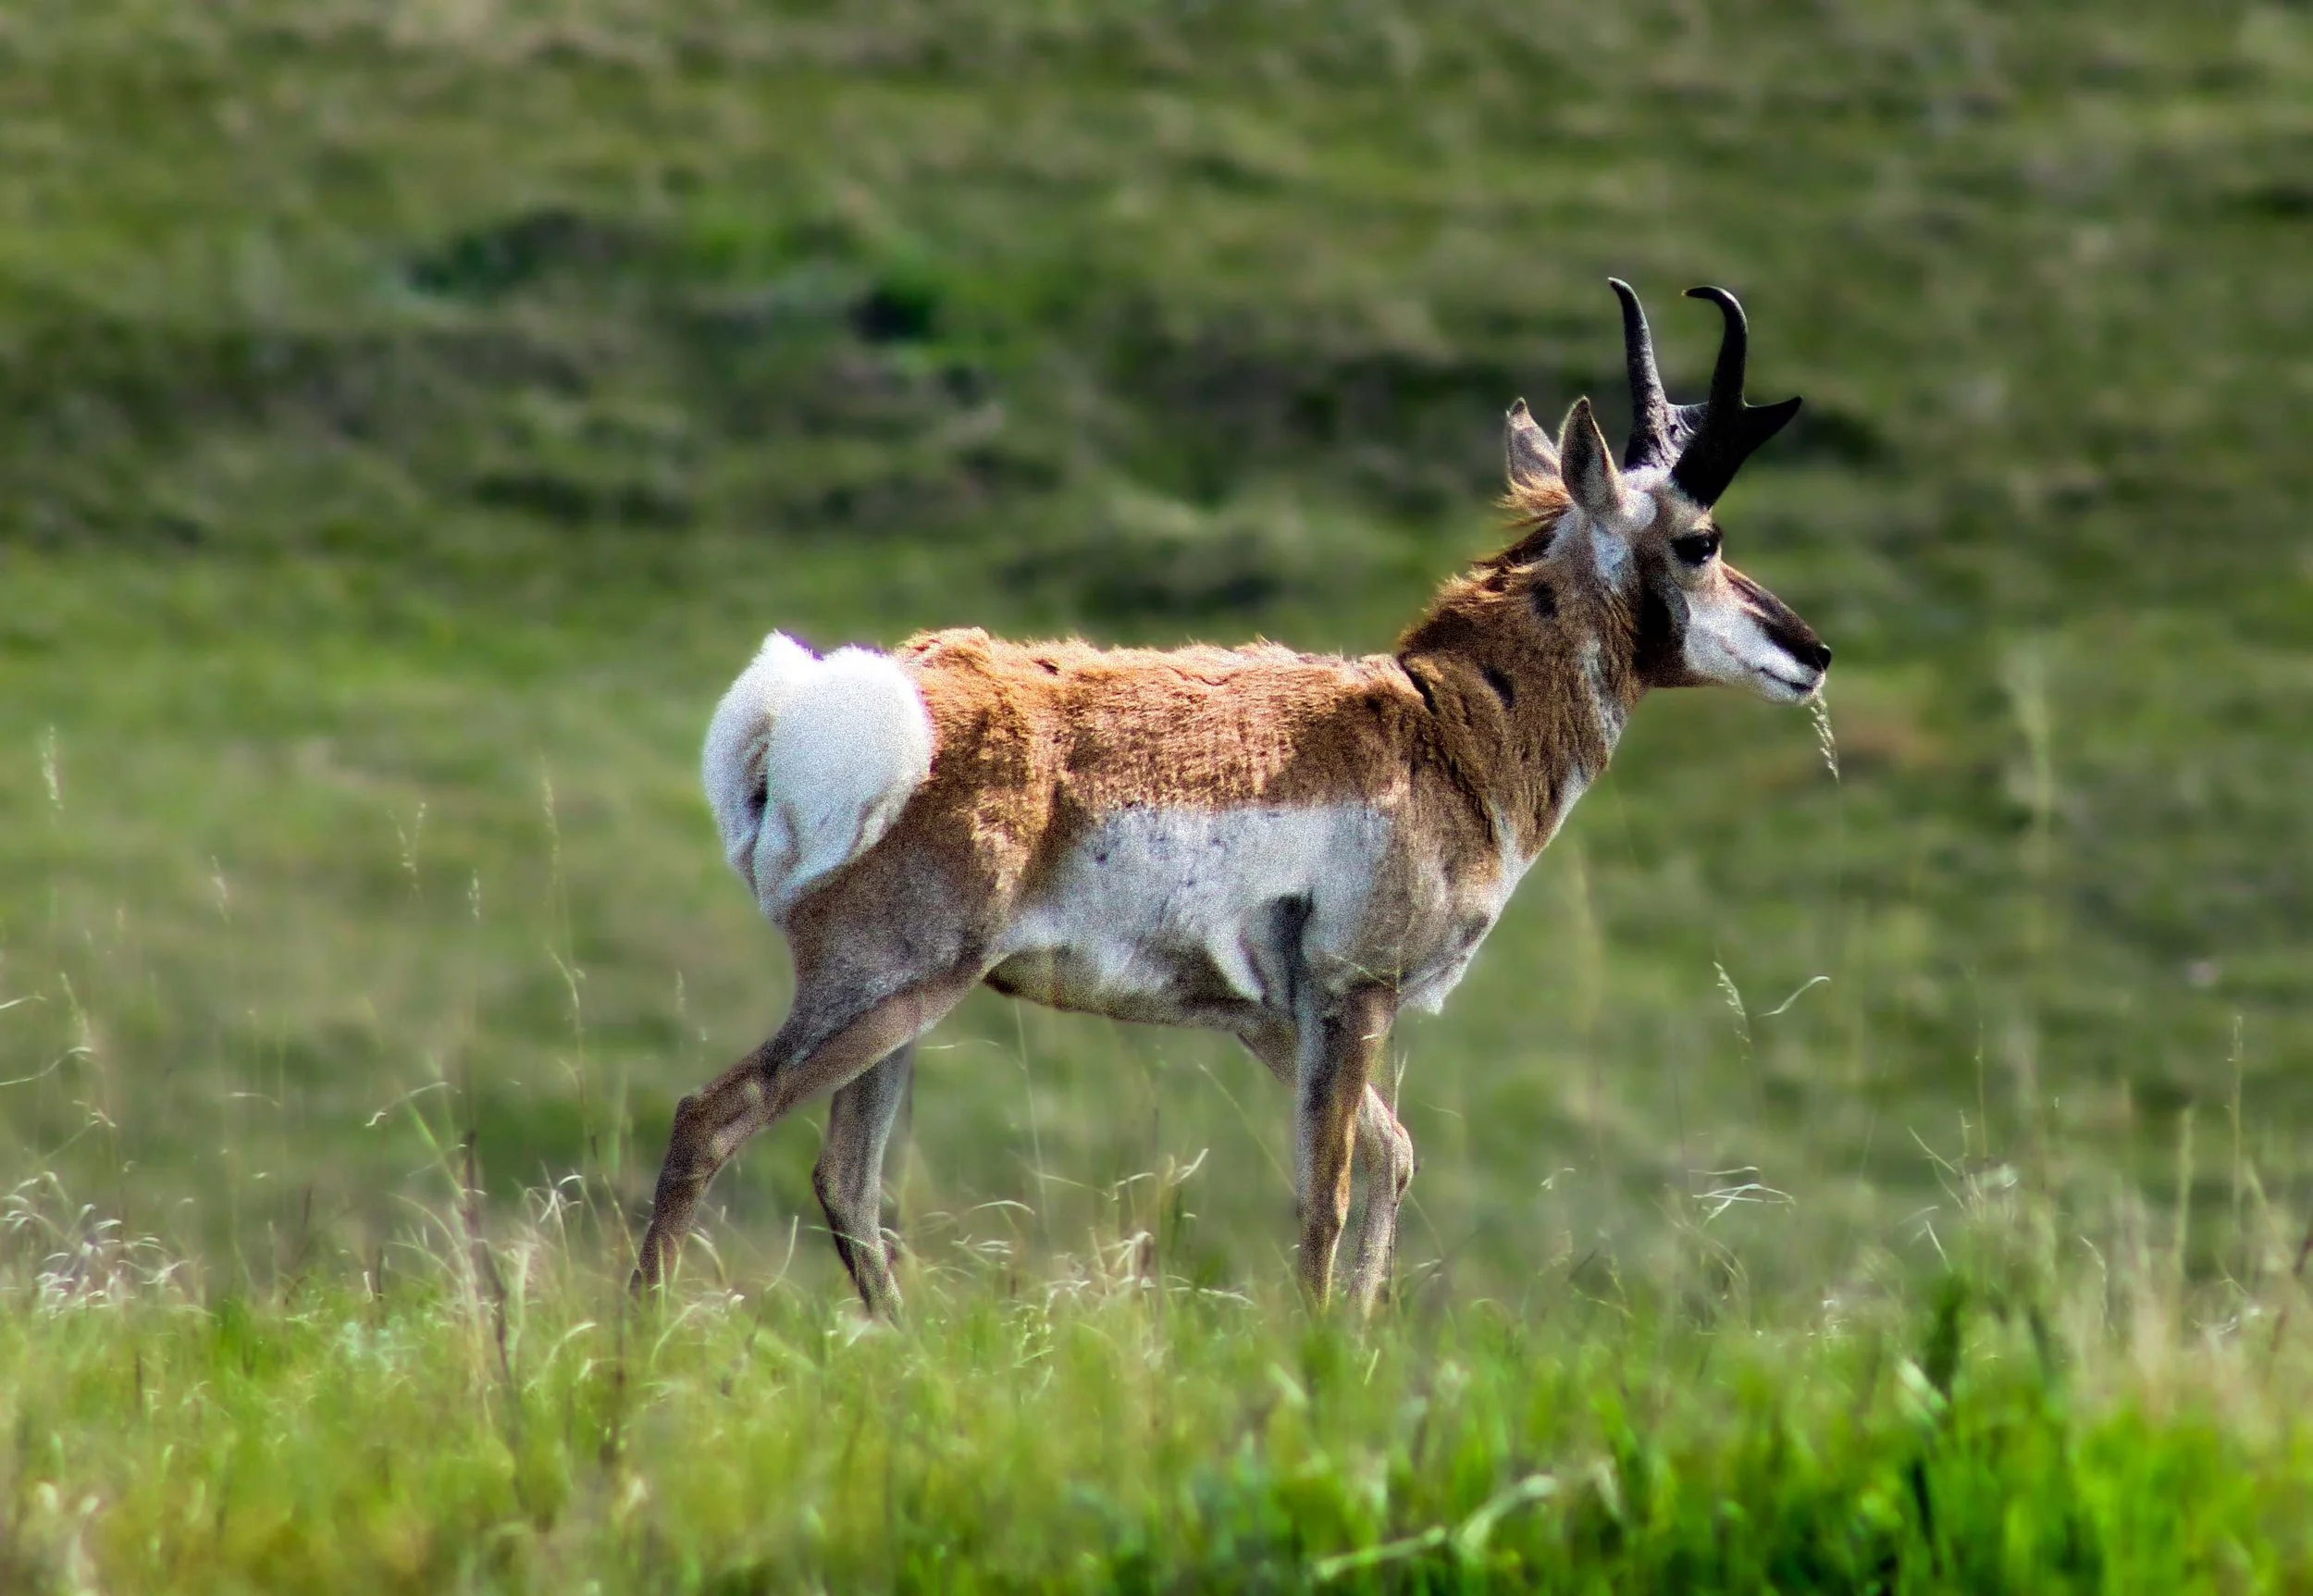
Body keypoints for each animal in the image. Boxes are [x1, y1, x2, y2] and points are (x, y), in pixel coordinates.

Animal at [633, 281, 1830, 1315]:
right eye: (1702, 542)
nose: (1813, 651)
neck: (1441, 725)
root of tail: (816, 704)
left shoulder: (1275, 1021)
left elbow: (1393, 1161)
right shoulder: (1352, 999)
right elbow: (1325, 1198)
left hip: (912, 1008)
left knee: (848, 1181)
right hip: (885, 984)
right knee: (711, 1119)